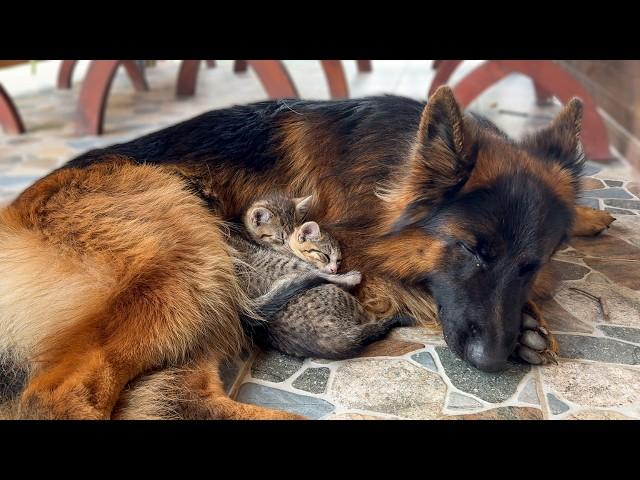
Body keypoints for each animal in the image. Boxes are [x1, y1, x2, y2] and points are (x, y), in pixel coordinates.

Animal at [0, 87, 612, 420]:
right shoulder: (361, 247)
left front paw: (589, 217)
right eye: (468, 250)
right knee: (59, 396)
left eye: (531, 264)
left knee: (178, 401)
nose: (491, 361)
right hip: (187, 253)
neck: (391, 168)